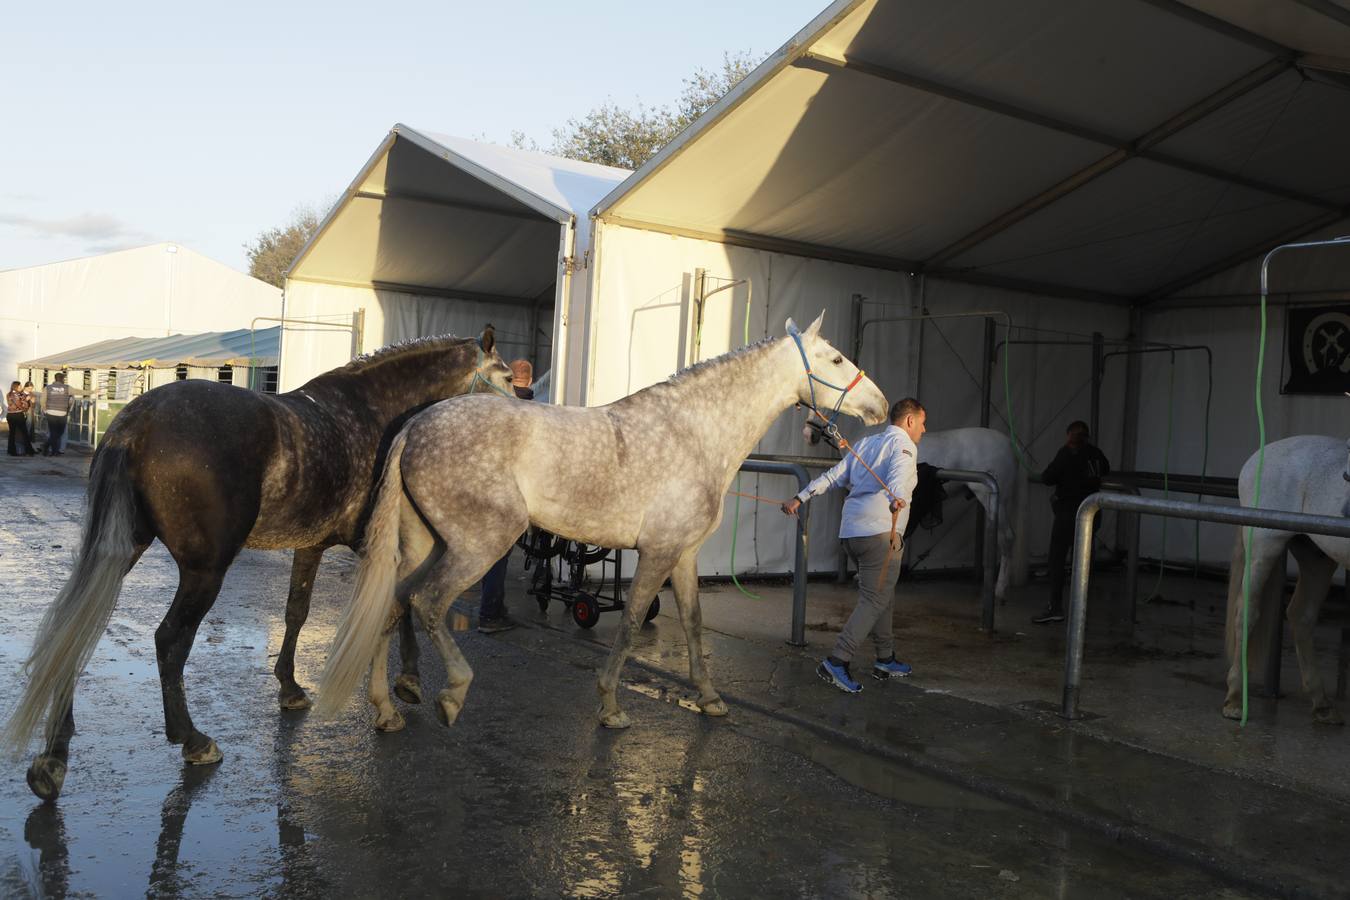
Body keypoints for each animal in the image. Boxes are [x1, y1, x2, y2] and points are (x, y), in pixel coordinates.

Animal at [2, 329, 514, 801]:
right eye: (509, 376)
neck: (372, 416)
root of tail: (134, 422)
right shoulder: (377, 544)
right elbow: (399, 603)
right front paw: (405, 685)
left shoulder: (312, 545)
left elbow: (297, 613)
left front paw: (290, 687)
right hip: (203, 571)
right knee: (169, 640)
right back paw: (192, 739)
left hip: (123, 549)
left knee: (75, 628)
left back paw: (53, 758)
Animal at [315, 312, 888, 731]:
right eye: (836, 358)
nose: (880, 405)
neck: (693, 432)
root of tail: (415, 425)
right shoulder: (657, 553)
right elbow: (632, 621)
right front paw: (611, 705)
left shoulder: (682, 554)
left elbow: (694, 621)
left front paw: (709, 698)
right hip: (479, 545)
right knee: (428, 603)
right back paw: (451, 694)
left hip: (425, 545)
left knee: (393, 603)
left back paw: (387, 709)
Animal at [1223, 434, 1350, 724]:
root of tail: (1259, 455)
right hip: (1263, 548)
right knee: (1246, 614)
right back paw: (1234, 700)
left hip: (1317, 558)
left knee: (1301, 615)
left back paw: (1322, 704)